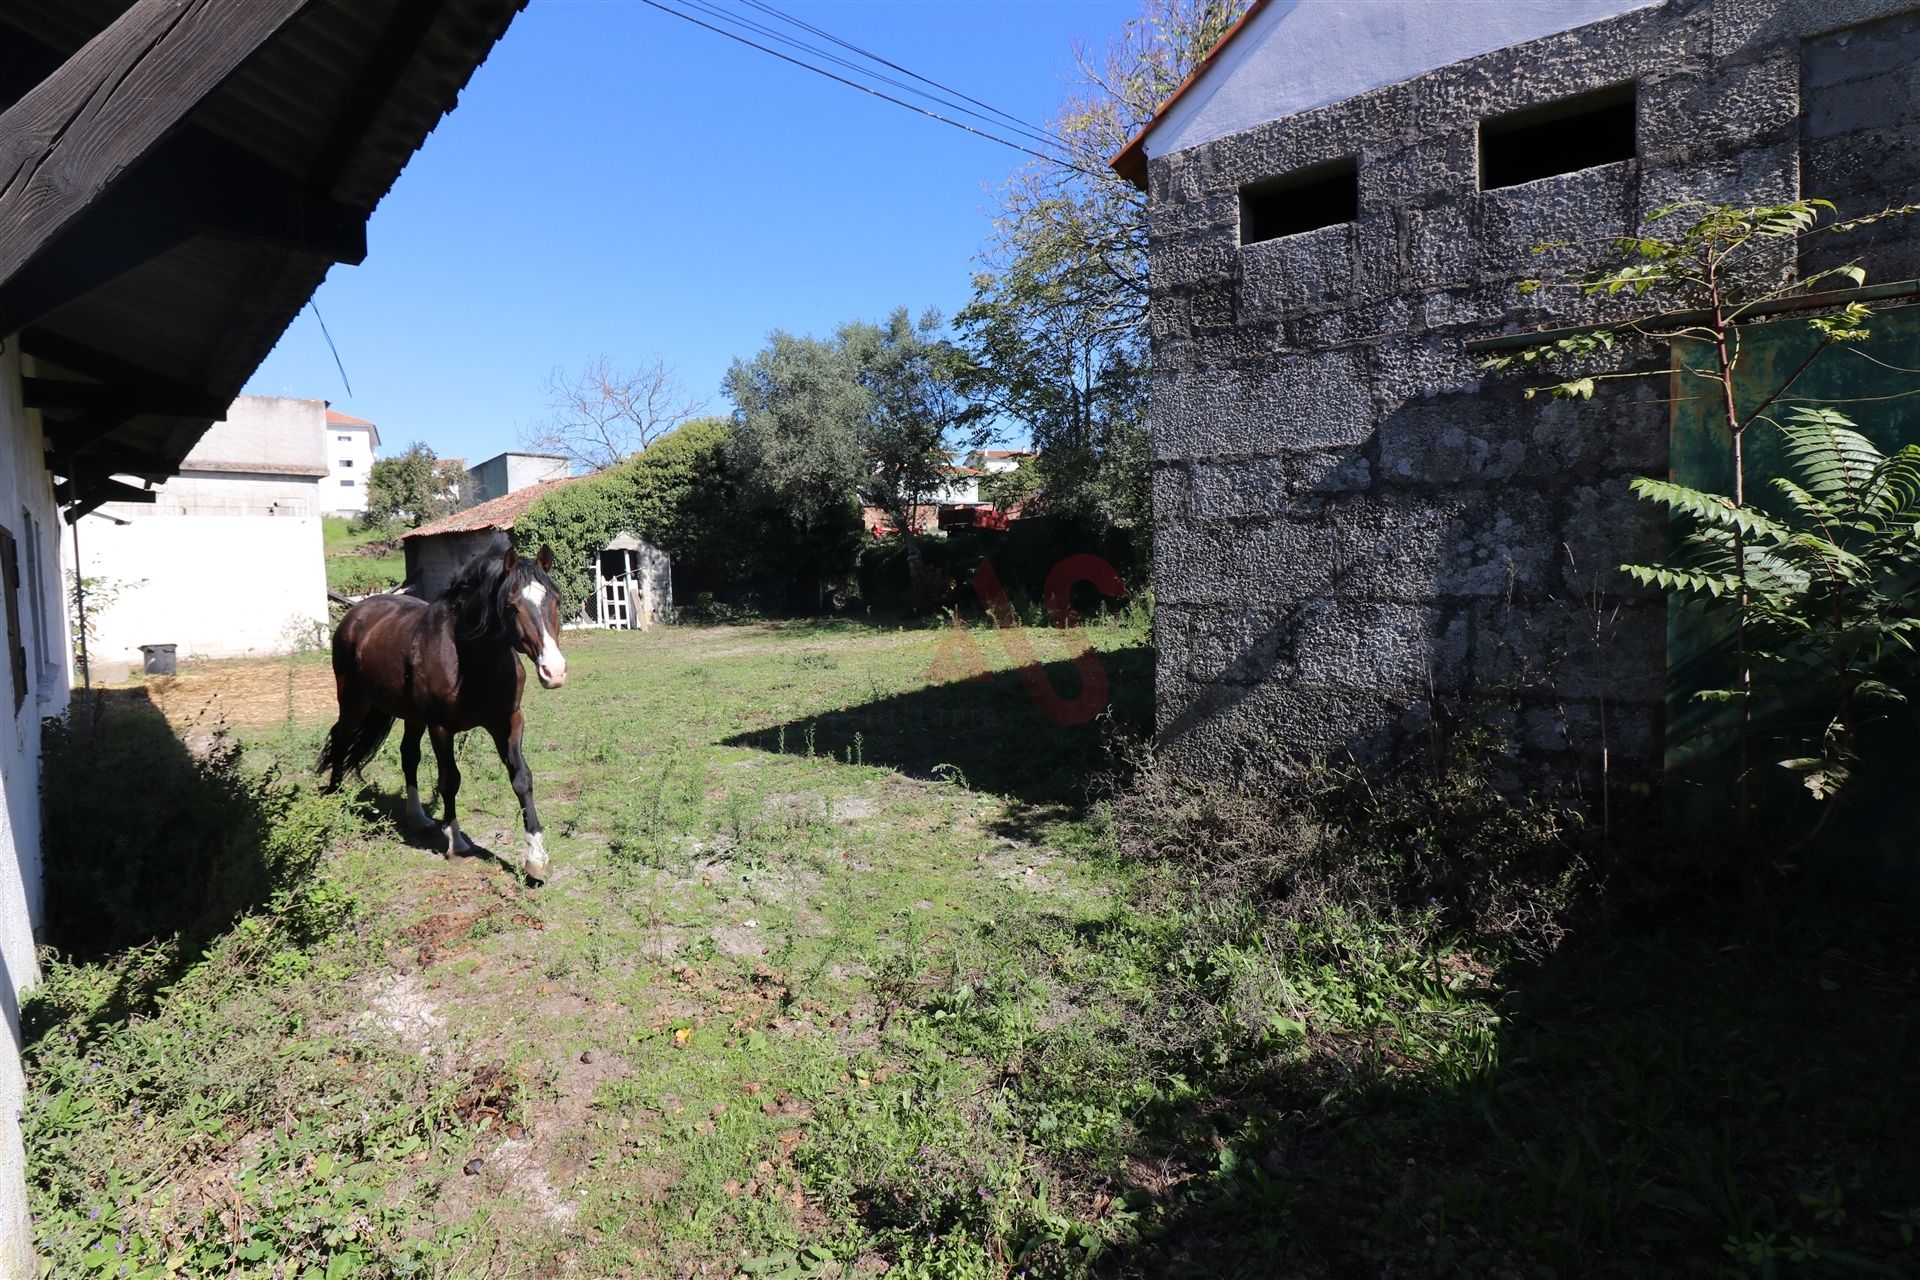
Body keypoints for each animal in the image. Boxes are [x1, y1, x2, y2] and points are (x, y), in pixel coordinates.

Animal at [314, 545, 564, 886]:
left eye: (555, 600)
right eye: (511, 607)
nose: (554, 672)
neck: (473, 660)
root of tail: (355, 613)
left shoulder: (508, 721)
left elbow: (522, 779)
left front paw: (536, 859)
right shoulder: (442, 728)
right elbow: (450, 781)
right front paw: (457, 844)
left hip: (411, 716)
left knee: (408, 755)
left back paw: (418, 817)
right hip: (355, 701)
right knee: (341, 738)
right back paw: (336, 796)